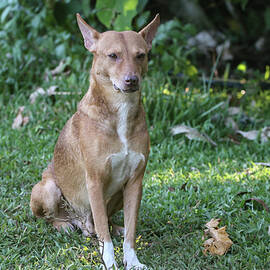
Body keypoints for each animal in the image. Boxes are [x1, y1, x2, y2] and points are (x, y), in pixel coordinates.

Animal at [30, 13, 159, 270]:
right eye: (113, 56)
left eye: (140, 55)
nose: (132, 80)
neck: (120, 111)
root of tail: (80, 221)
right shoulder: (95, 182)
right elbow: (104, 237)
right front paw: (109, 262)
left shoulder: (135, 182)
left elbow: (130, 230)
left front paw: (132, 260)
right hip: (48, 189)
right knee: (54, 219)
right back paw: (63, 225)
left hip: (118, 194)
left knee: (103, 223)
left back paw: (115, 227)